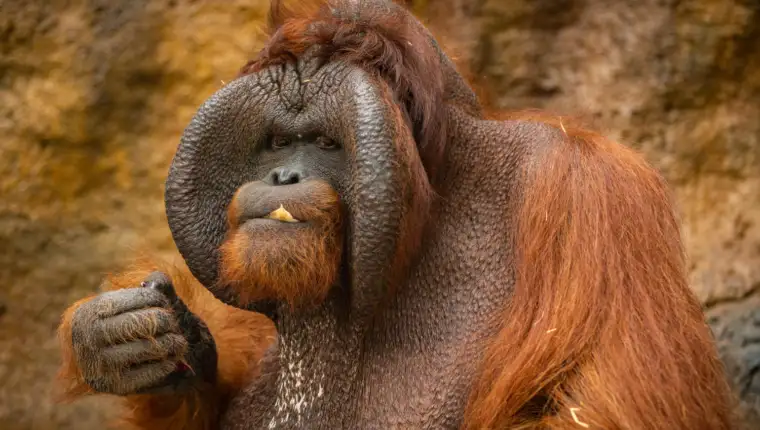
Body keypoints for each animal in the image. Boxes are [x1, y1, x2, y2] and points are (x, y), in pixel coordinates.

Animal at [55, 1, 737, 429]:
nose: (282, 177)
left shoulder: (588, 191)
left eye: (325, 142)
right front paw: (126, 337)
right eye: (277, 142)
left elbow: (602, 409)